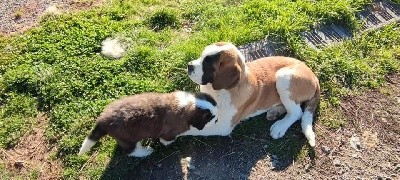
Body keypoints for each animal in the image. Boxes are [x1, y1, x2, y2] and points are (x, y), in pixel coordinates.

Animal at [77, 90, 217, 157]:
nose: (217, 120)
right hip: (128, 138)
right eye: (210, 118)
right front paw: (169, 142)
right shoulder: (169, 132)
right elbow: (167, 139)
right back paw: (145, 152)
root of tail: (103, 120)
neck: (188, 104)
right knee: (131, 151)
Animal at [186, 42, 320, 146]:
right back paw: (274, 112)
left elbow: (196, 130)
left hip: (284, 77)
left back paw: (280, 127)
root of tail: (314, 77)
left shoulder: (223, 126)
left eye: (207, 65)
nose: (189, 65)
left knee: (297, 112)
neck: (220, 91)